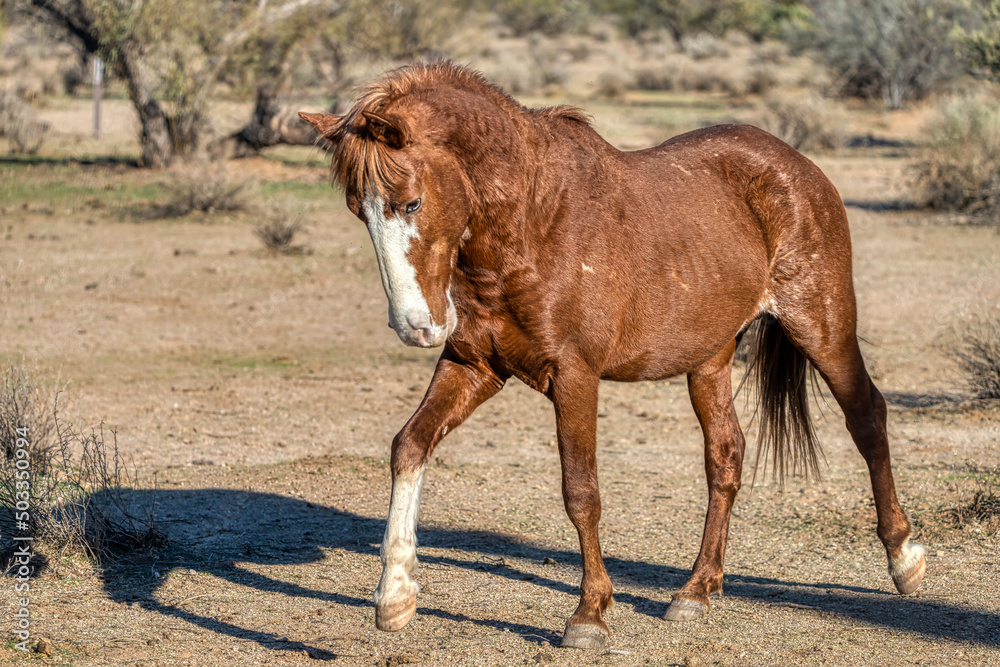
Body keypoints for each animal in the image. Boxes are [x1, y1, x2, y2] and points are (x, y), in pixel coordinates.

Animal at [299, 61, 926, 649]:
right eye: (359, 210)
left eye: (411, 203)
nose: (416, 327)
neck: (532, 222)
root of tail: (795, 163)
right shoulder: (473, 368)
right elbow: (409, 447)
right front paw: (395, 594)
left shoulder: (575, 377)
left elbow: (581, 492)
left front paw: (589, 614)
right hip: (710, 358)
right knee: (725, 457)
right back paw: (697, 590)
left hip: (822, 328)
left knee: (867, 418)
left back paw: (904, 560)